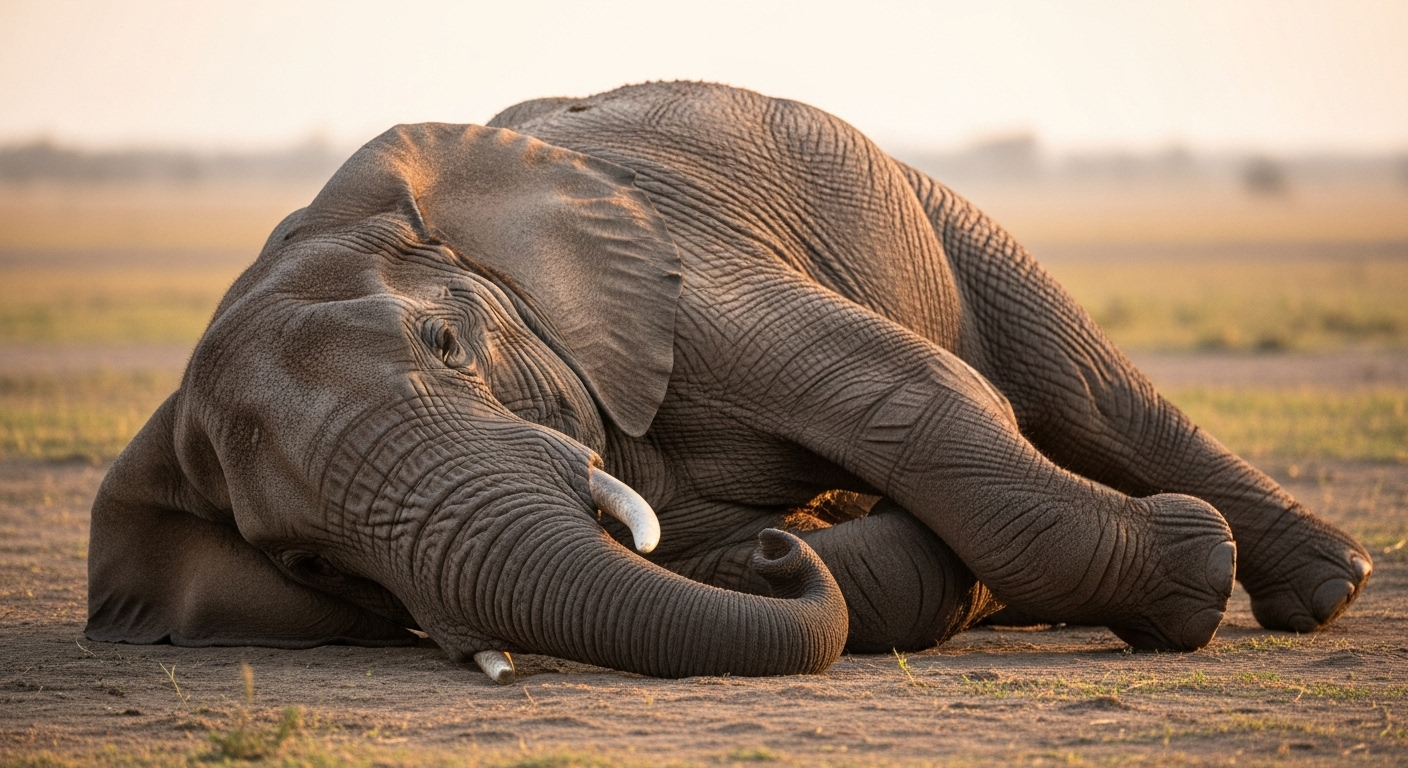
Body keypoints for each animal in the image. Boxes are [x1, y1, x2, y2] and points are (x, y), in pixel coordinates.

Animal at [86, 81, 1373, 682]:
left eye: (448, 344)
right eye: (307, 562)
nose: (782, 543)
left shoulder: (680, 268)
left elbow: (914, 396)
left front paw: (1186, 579)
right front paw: (818, 556)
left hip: (922, 200)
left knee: (1078, 388)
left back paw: (1325, 588)